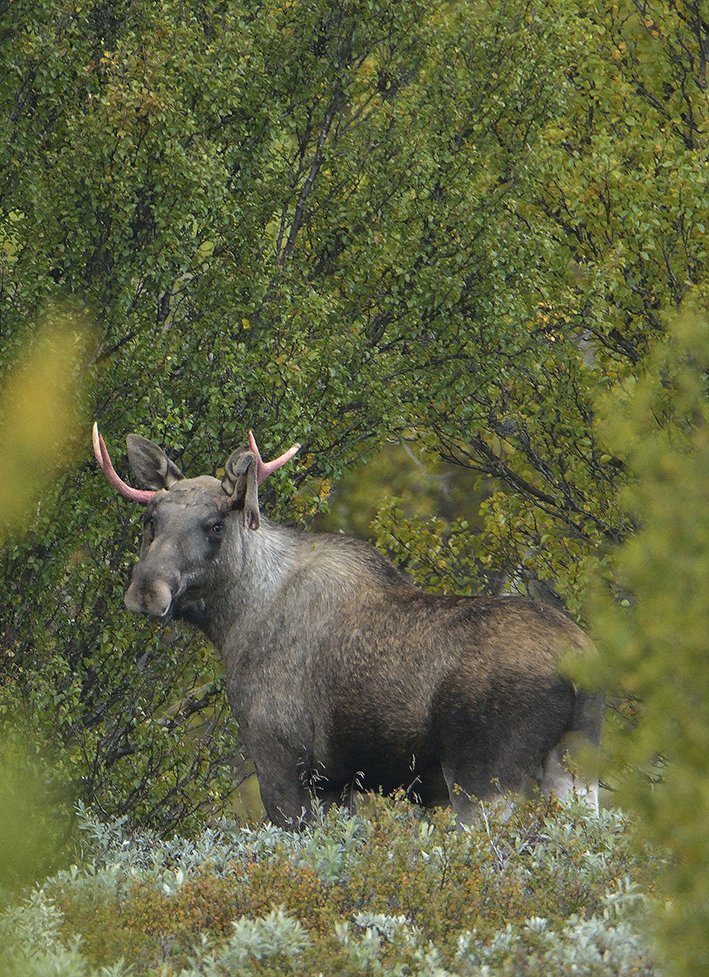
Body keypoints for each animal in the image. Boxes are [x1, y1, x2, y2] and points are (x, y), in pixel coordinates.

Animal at [94, 424, 600, 828]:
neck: (236, 621)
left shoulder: (279, 761)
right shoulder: (336, 784)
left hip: (483, 777)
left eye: (216, 524)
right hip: (575, 770)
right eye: (151, 518)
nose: (147, 590)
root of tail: (581, 668)